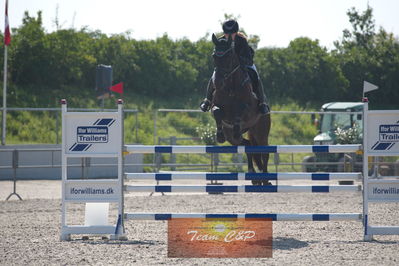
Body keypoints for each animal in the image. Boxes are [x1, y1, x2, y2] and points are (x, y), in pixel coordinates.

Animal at [209, 33, 272, 185]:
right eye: (214, 56)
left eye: (229, 56)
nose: (217, 82)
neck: (230, 87)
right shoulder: (215, 107)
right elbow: (217, 112)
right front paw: (219, 136)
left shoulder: (247, 109)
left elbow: (240, 111)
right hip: (232, 137)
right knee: (248, 146)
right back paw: (254, 177)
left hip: (261, 131)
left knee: (264, 153)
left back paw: (265, 179)